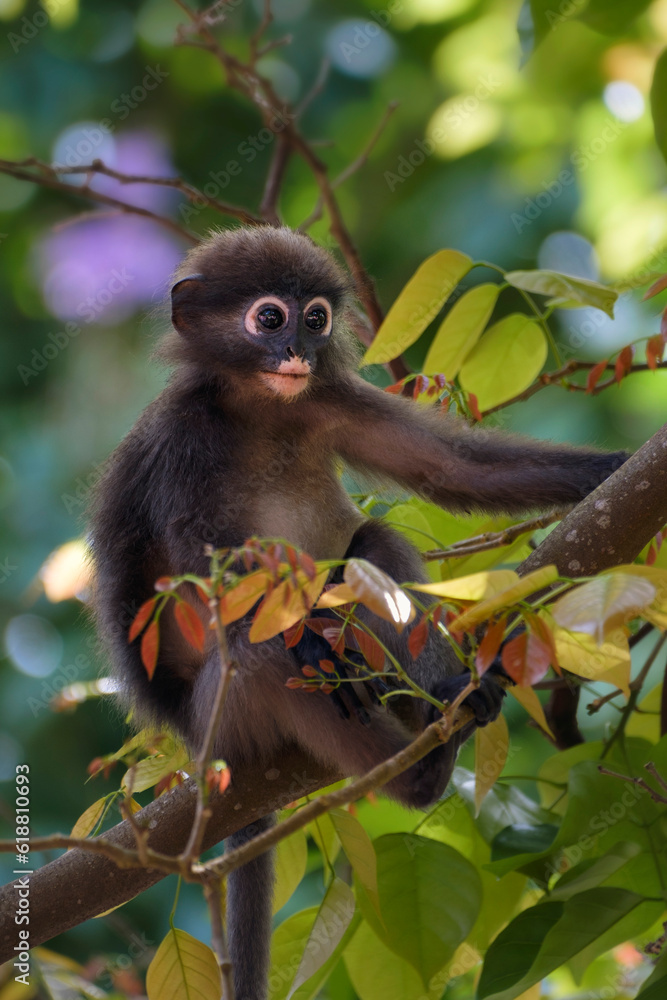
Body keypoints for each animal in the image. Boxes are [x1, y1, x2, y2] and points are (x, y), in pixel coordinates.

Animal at [90, 226, 627, 1000]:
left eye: (315, 318)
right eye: (269, 318)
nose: (297, 351)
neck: (262, 406)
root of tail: (201, 748)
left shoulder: (331, 398)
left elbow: (454, 471)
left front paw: (616, 468)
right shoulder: (183, 440)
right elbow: (203, 561)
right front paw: (306, 645)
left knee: (374, 545)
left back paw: (450, 698)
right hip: (226, 712)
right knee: (263, 657)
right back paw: (414, 765)